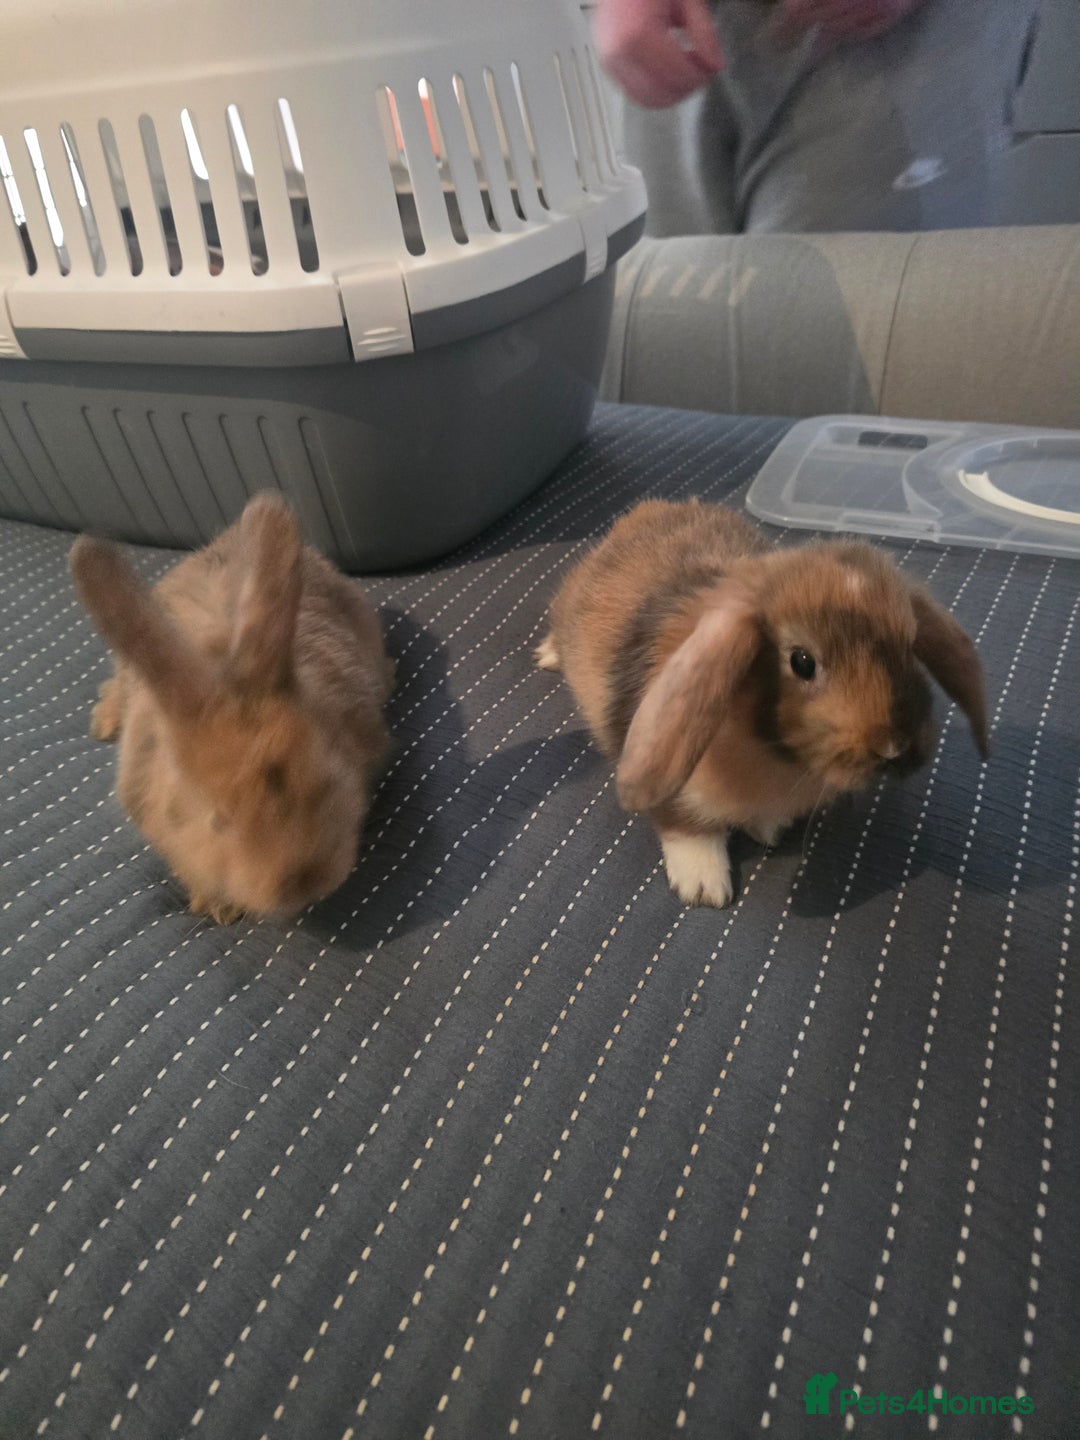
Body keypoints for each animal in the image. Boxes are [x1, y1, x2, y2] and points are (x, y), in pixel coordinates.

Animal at [536, 499, 987, 908]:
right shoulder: (675, 791)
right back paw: (547, 655)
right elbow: (688, 830)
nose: (895, 750)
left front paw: (770, 831)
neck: (771, 754)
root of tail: (643, 512)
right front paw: (704, 888)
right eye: (802, 661)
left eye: (910, 646)